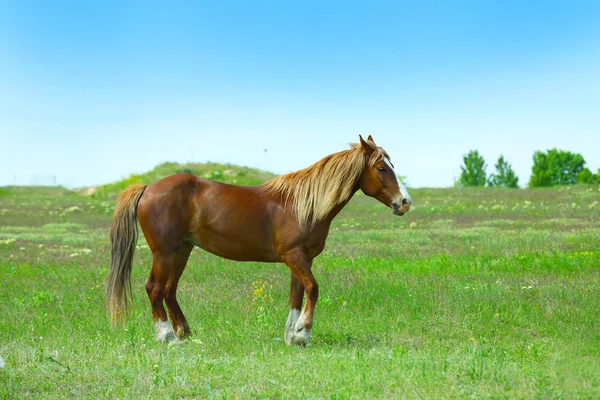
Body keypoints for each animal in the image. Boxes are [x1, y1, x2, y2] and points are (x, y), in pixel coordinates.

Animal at [106, 135, 412, 346]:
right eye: (382, 168)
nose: (405, 202)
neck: (301, 204)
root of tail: (147, 188)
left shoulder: (302, 258)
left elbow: (296, 294)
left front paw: (291, 336)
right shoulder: (294, 256)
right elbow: (313, 289)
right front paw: (303, 332)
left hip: (182, 250)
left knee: (169, 290)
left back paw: (185, 333)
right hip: (164, 252)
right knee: (155, 289)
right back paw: (167, 337)